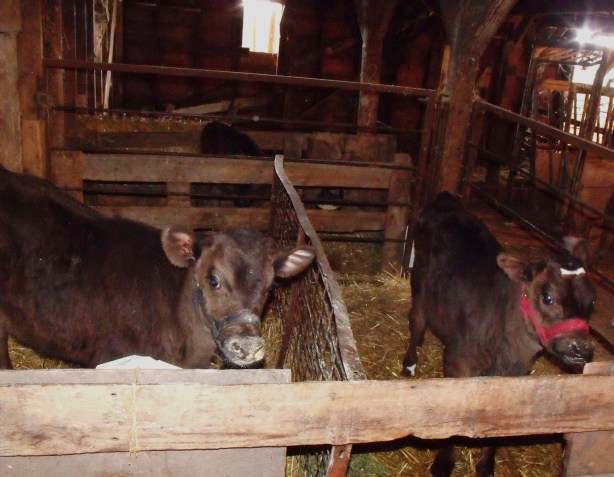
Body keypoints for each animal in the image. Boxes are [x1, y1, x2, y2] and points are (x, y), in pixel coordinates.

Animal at [401, 192, 595, 477]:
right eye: (548, 297)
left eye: (592, 301)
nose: (582, 348)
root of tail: (445, 198)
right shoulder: (458, 363)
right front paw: (443, 464)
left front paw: (485, 466)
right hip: (419, 284)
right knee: (416, 321)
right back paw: (410, 365)